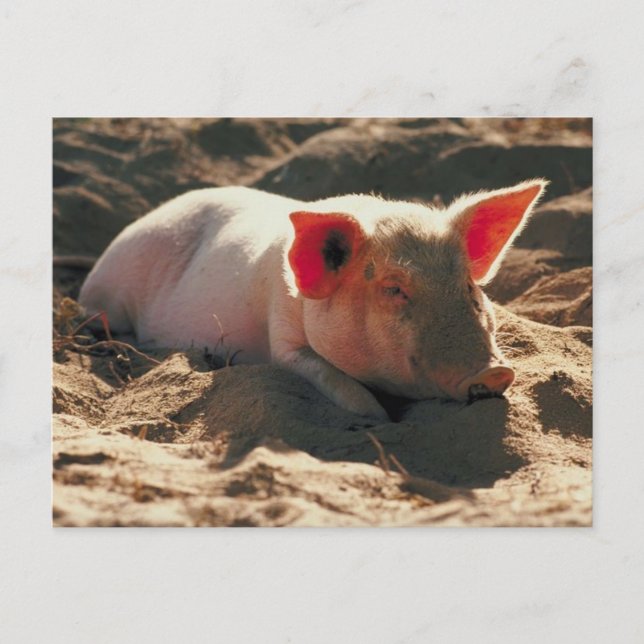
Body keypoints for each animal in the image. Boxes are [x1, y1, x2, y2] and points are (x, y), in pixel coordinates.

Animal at [79, 180, 546, 421]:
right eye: (394, 289)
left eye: (468, 286)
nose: (495, 372)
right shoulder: (282, 337)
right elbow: (342, 388)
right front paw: (379, 417)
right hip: (106, 297)